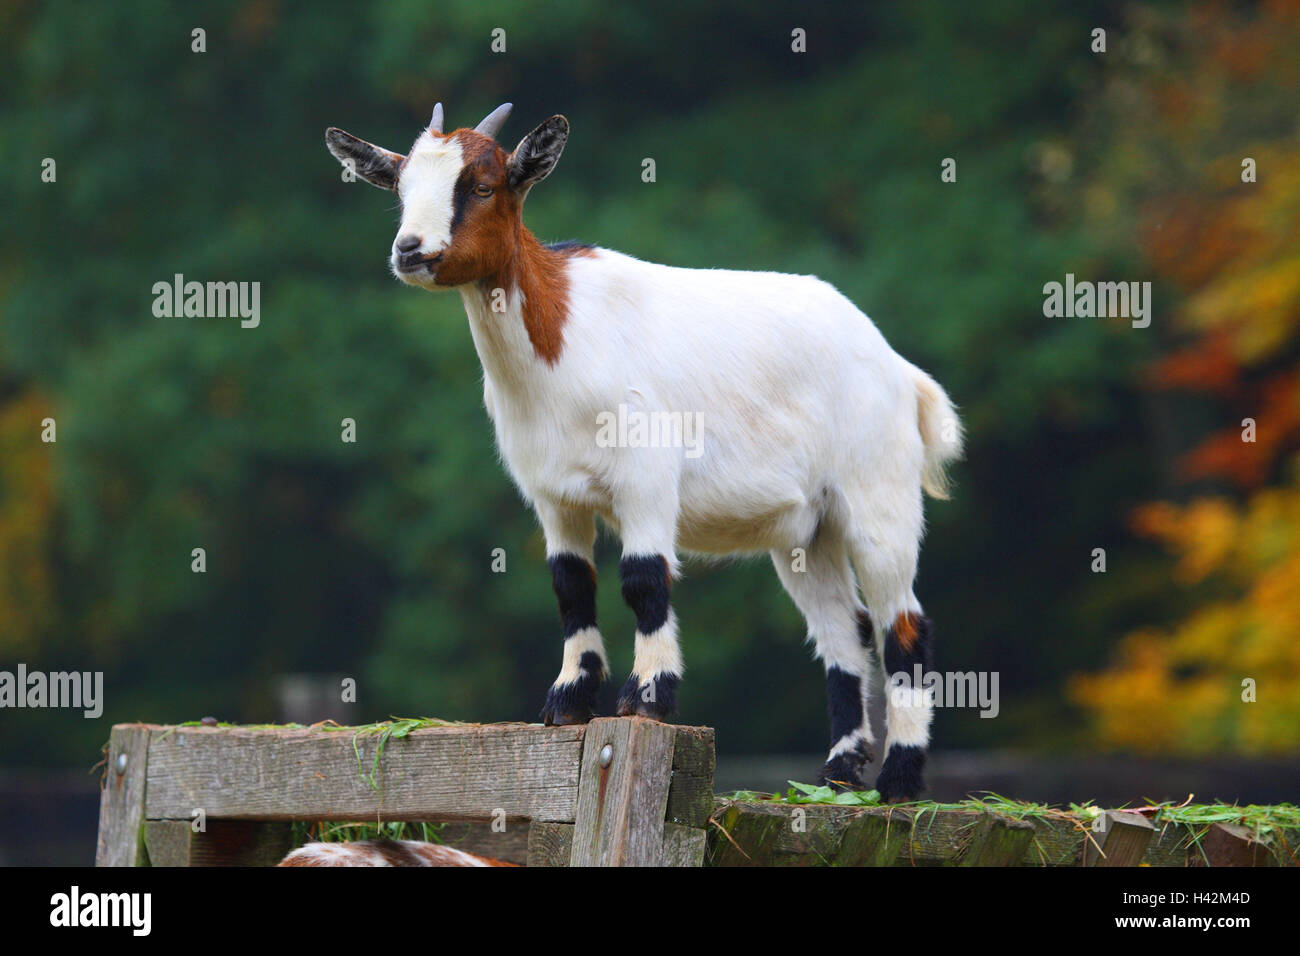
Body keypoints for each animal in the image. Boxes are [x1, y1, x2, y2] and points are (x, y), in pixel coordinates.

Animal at [325, 102, 967, 801]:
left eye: (484, 186)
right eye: (401, 189)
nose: (410, 250)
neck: (562, 340)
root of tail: (897, 367)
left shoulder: (646, 475)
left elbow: (643, 578)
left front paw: (648, 700)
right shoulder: (552, 494)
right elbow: (570, 584)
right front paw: (567, 702)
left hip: (878, 488)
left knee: (903, 624)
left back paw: (899, 778)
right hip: (808, 529)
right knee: (842, 626)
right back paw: (839, 770)